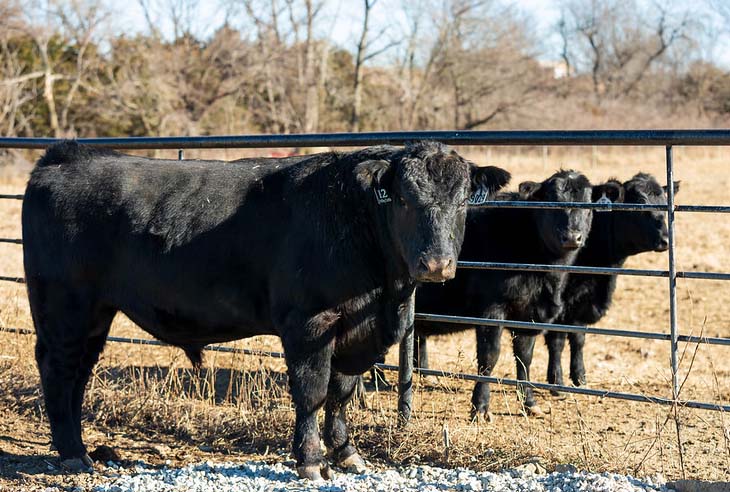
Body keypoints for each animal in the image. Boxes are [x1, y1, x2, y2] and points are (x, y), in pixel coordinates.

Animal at [22, 140, 509, 481]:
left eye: (462, 202)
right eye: (404, 199)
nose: (436, 264)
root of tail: (66, 155)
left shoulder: (358, 331)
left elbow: (342, 393)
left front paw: (347, 455)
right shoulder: (310, 323)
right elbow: (312, 393)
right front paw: (310, 461)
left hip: (93, 315)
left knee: (78, 373)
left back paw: (77, 448)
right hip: (64, 307)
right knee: (58, 369)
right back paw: (73, 454)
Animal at [410, 170, 593, 419]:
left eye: (588, 205)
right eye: (552, 201)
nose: (572, 237)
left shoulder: (529, 314)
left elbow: (525, 358)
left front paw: (529, 402)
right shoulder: (491, 309)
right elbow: (490, 356)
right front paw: (480, 407)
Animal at [545, 174, 680, 391]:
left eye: (664, 204)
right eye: (640, 204)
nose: (666, 240)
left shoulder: (583, 303)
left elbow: (578, 338)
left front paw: (580, 377)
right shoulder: (558, 305)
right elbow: (557, 339)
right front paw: (557, 382)